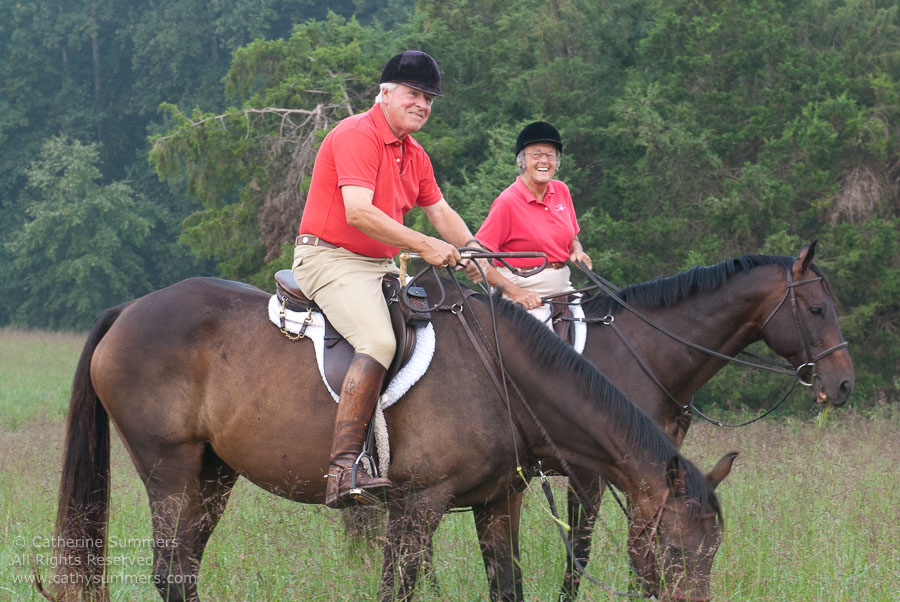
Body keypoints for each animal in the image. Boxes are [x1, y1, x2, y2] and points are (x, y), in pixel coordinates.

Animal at [51, 270, 740, 596]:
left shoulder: (498, 502)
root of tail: (129, 310)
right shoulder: (416, 509)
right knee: (171, 571)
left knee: (186, 569)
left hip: (213, 475)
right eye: (674, 553)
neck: (502, 376)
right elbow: (396, 589)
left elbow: (507, 586)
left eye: (714, 552)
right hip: (169, 470)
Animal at [482, 241, 856, 596]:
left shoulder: (648, 472)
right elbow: (581, 549)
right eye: (817, 310)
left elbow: (642, 544)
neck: (645, 354)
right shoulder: (590, 473)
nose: (844, 383)